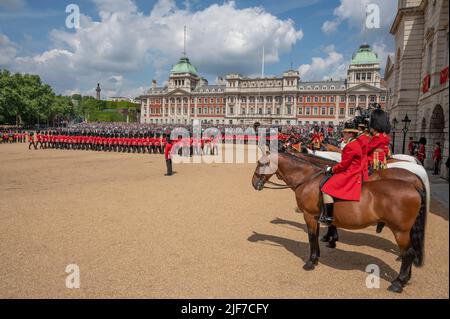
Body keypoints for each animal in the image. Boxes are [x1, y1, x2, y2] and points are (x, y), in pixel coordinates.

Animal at [251, 150, 428, 296]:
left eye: (262, 163)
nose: (253, 183)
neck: (308, 179)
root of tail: (413, 186)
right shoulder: (317, 217)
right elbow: (317, 235)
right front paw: (319, 254)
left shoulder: (309, 216)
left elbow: (312, 237)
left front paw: (311, 261)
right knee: (410, 253)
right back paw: (405, 278)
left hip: (400, 231)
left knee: (408, 253)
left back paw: (398, 282)